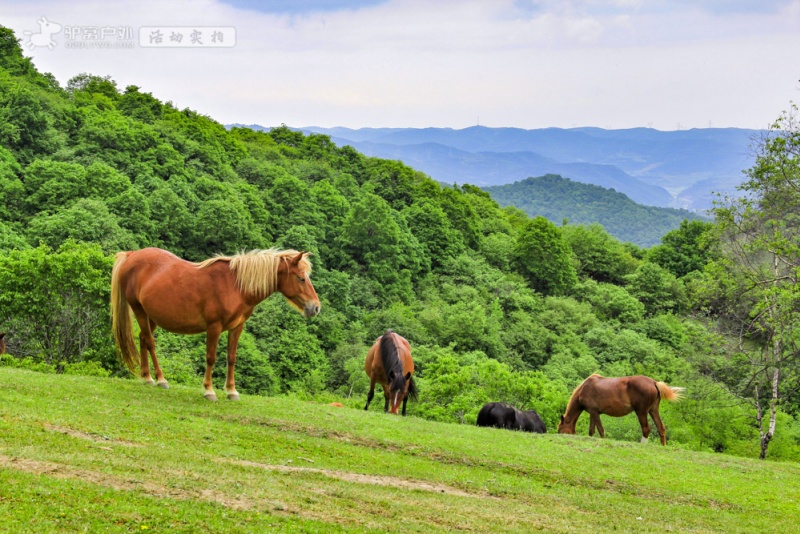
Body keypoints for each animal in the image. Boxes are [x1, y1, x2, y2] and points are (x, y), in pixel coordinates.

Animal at [110, 248, 322, 402]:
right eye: (301, 278)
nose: (315, 308)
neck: (235, 287)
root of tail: (131, 255)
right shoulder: (214, 327)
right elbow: (211, 358)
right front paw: (209, 391)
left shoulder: (237, 327)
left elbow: (231, 358)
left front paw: (231, 391)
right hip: (139, 310)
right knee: (150, 342)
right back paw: (160, 379)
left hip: (150, 316)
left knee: (143, 339)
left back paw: (147, 377)